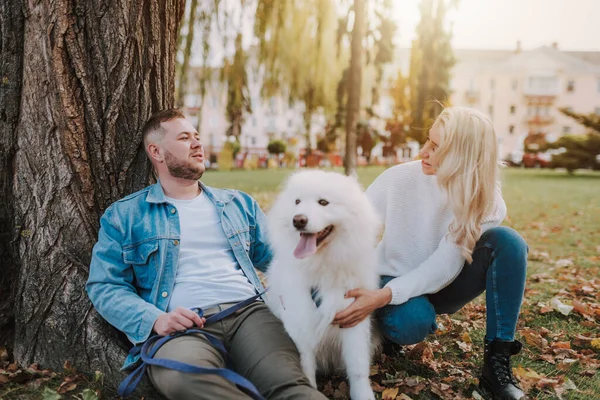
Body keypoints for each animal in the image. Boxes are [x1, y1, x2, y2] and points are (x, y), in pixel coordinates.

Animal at [266, 170, 380, 400]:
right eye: (297, 201)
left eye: (323, 202)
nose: (298, 220)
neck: (323, 267)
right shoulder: (301, 322)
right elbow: (306, 366)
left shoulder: (354, 320)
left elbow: (358, 368)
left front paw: (363, 394)